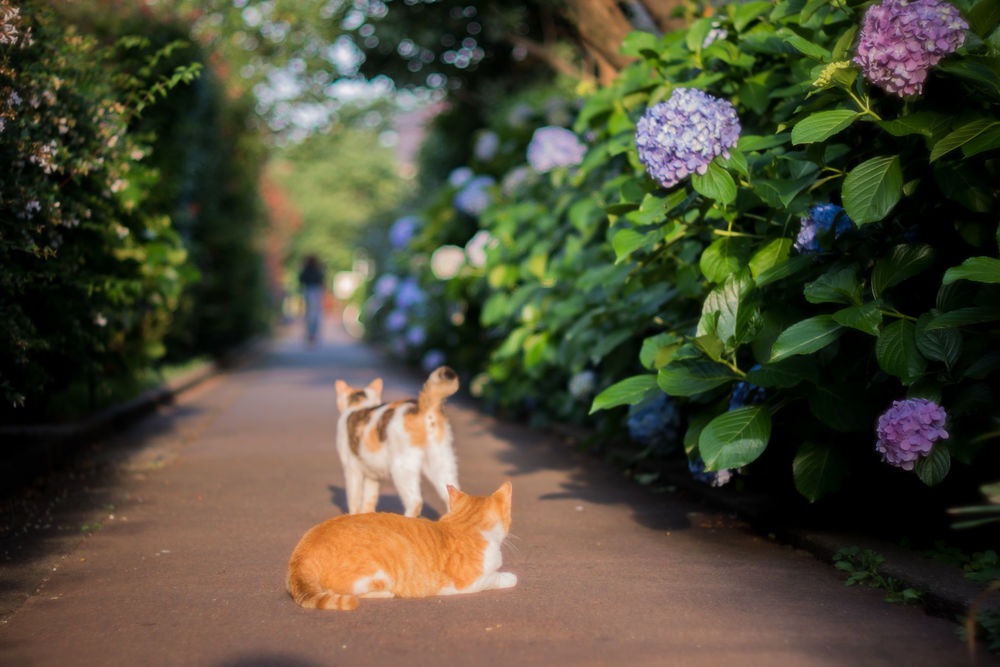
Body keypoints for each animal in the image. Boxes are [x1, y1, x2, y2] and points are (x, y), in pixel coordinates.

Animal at [284, 480, 512, 612]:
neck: (465, 524)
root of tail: (299, 559)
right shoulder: (468, 583)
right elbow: (498, 577)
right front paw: (509, 577)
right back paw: (387, 593)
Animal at [336, 368, 460, 520]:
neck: (360, 405)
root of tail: (420, 407)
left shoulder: (352, 470)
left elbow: (354, 500)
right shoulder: (372, 475)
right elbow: (369, 499)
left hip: (401, 468)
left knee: (415, 501)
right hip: (440, 463)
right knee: (452, 494)